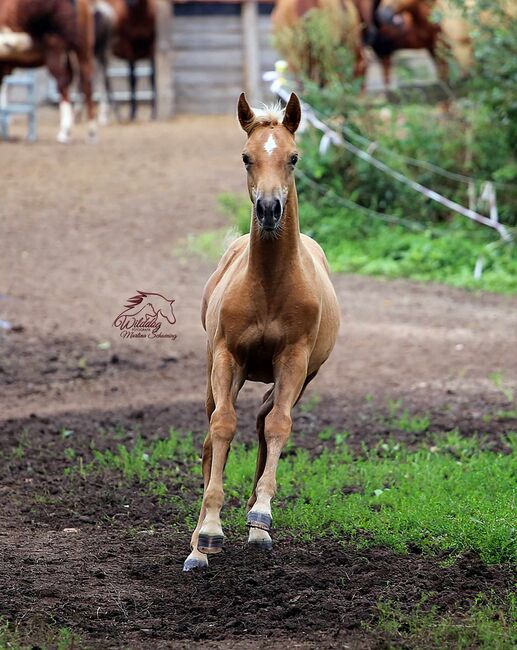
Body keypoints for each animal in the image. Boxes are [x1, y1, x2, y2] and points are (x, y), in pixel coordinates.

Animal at [0, 0, 96, 142]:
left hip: (55, 48)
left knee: (63, 82)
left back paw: (65, 130)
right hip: (83, 50)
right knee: (86, 83)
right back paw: (91, 131)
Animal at [183, 93, 340, 568]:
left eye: (294, 157)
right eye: (245, 157)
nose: (269, 210)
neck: (270, 284)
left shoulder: (294, 361)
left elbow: (278, 426)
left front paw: (261, 514)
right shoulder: (227, 356)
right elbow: (222, 428)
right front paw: (209, 532)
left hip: (301, 377)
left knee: (263, 421)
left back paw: (256, 526)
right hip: (216, 373)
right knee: (213, 436)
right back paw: (197, 546)